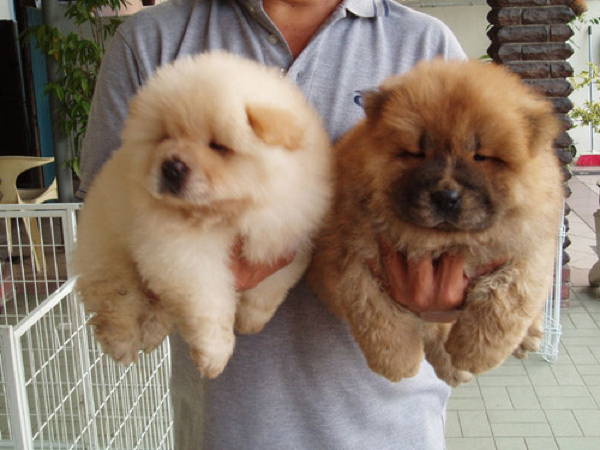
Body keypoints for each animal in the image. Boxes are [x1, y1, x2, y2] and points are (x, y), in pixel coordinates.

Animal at [74, 51, 332, 378]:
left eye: (219, 146)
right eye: (164, 137)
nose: (171, 166)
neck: (226, 214)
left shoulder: (287, 234)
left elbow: (271, 286)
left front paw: (251, 320)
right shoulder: (183, 254)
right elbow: (209, 302)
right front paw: (215, 355)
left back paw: (152, 332)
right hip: (106, 252)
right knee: (117, 301)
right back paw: (123, 343)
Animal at [308, 59, 564, 386]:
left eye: (481, 156)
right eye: (416, 153)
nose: (446, 196)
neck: (441, 242)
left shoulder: (527, 250)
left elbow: (505, 300)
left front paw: (473, 354)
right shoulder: (353, 259)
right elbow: (379, 319)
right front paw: (398, 366)